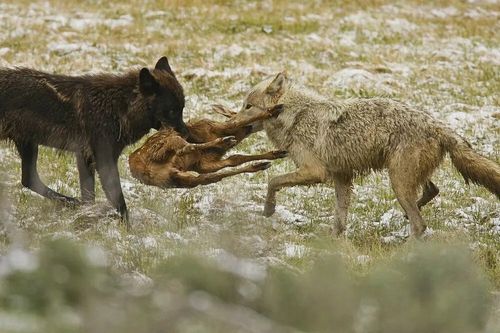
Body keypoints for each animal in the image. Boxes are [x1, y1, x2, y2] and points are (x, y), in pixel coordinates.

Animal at [0, 56, 188, 226]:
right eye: (172, 111)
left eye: (182, 109)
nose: (187, 135)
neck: (118, 108)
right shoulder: (104, 161)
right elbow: (118, 200)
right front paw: (128, 230)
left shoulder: (85, 157)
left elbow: (89, 196)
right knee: (29, 179)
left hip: (29, 145)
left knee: (28, 179)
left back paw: (71, 203)